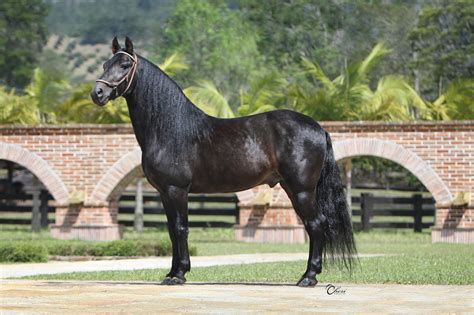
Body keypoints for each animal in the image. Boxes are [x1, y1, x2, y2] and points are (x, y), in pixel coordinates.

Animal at [90, 37, 354, 288]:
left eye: (125, 65)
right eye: (105, 65)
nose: (97, 93)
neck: (170, 130)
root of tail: (319, 128)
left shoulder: (177, 190)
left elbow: (181, 228)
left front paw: (179, 275)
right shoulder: (165, 193)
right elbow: (172, 231)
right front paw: (172, 273)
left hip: (302, 190)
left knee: (316, 225)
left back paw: (308, 277)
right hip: (291, 187)